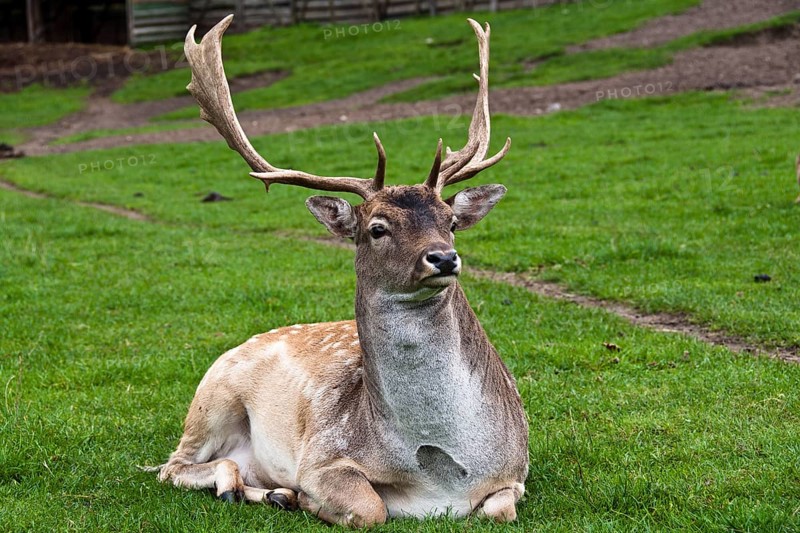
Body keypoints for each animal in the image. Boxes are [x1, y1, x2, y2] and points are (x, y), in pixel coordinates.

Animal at [153, 14, 529, 527]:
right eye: (376, 228)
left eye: (451, 221)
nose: (443, 258)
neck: (444, 472)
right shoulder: (322, 455)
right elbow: (371, 509)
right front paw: (312, 501)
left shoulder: (517, 470)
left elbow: (499, 511)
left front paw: (291, 498)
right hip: (211, 394)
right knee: (173, 466)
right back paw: (255, 491)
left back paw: (272, 493)